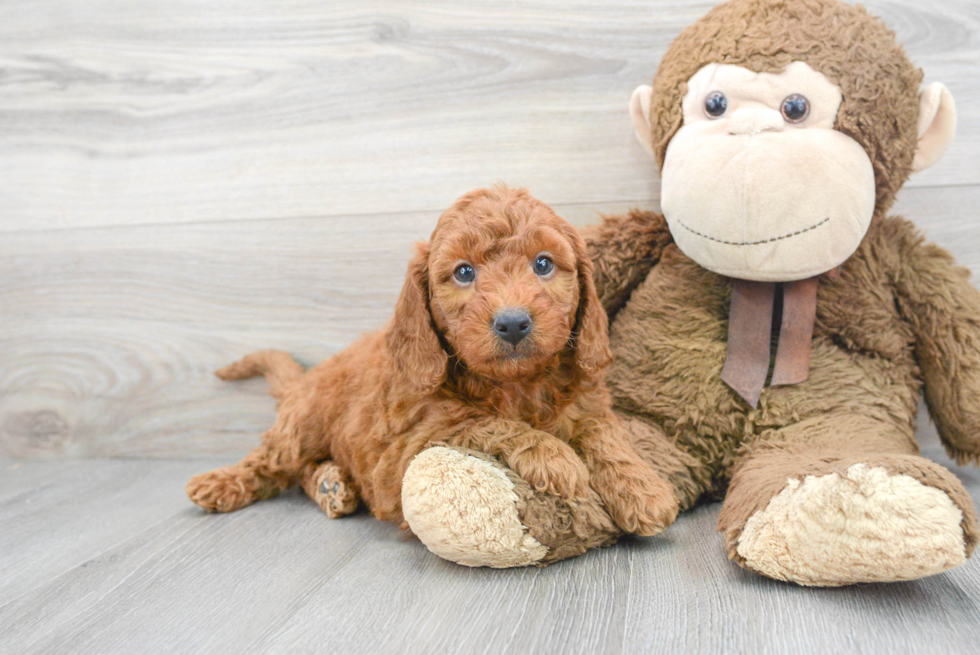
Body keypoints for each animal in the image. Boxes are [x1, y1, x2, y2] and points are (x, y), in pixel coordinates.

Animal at [190, 184, 676, 540]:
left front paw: (644, 489)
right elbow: (483, 421)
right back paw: (221, 482)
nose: (513, 323)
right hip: (303, 423)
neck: (516, 383)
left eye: (543, 264)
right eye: (463, 272)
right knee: (272, 462)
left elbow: (603, 434)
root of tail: (307, 378)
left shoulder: (588, 402)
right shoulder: (409, 444)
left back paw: (331, 484)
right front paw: (553, 456)